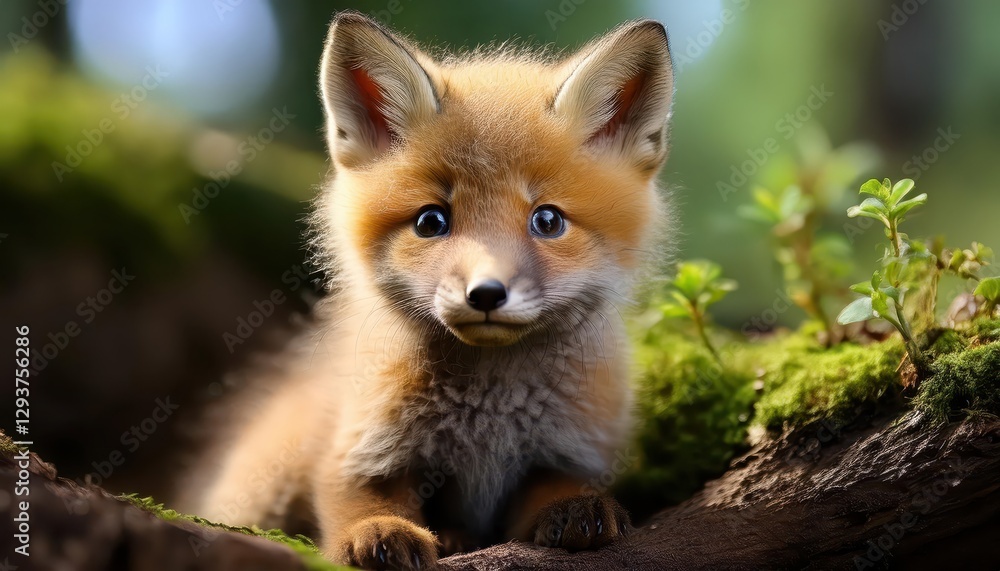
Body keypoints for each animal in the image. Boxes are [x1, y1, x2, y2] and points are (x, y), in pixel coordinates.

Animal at [188, 11, 674, 570]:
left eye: (548, 220)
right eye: (431, 221)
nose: (486, 294)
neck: (489, 413)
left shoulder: (571, 449)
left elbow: (558, 489)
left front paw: (575, 508)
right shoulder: (360, 443)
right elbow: (356, 498)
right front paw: (379, 533)